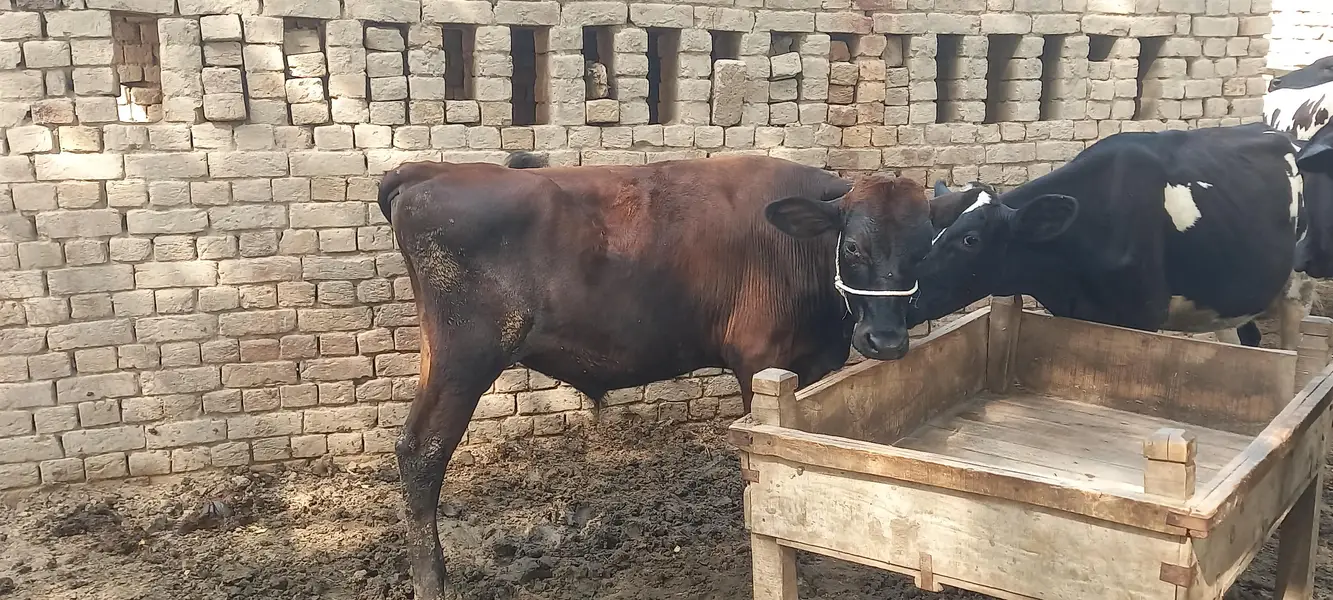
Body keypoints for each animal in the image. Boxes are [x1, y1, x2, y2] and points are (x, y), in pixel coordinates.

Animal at [377, 152, 932, 599]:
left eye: (923, 248)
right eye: (853, 247)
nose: (886, 340)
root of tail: (429, 170)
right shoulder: (760, 359)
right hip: (464, 356)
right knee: (423, 451)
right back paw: (433, 584)